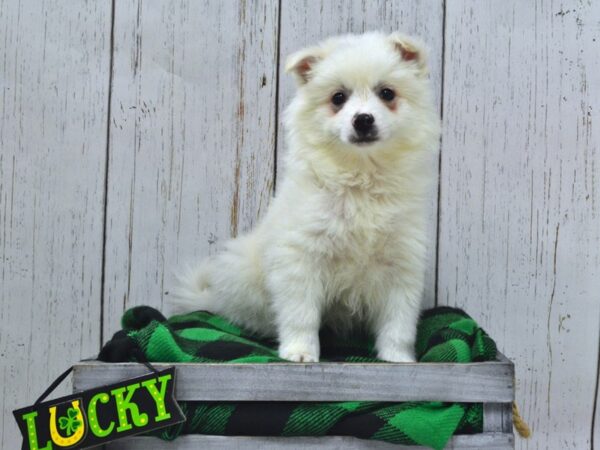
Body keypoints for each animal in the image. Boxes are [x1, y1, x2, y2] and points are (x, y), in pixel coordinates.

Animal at [171, 31, 438, 362]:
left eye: (387, 93)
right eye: (338, 98)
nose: (363, 119)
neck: (361, 176)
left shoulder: (402, 262)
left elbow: (398, 322)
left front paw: (398, 358)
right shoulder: (301, 257)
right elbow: (301, 314)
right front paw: (299, 351)